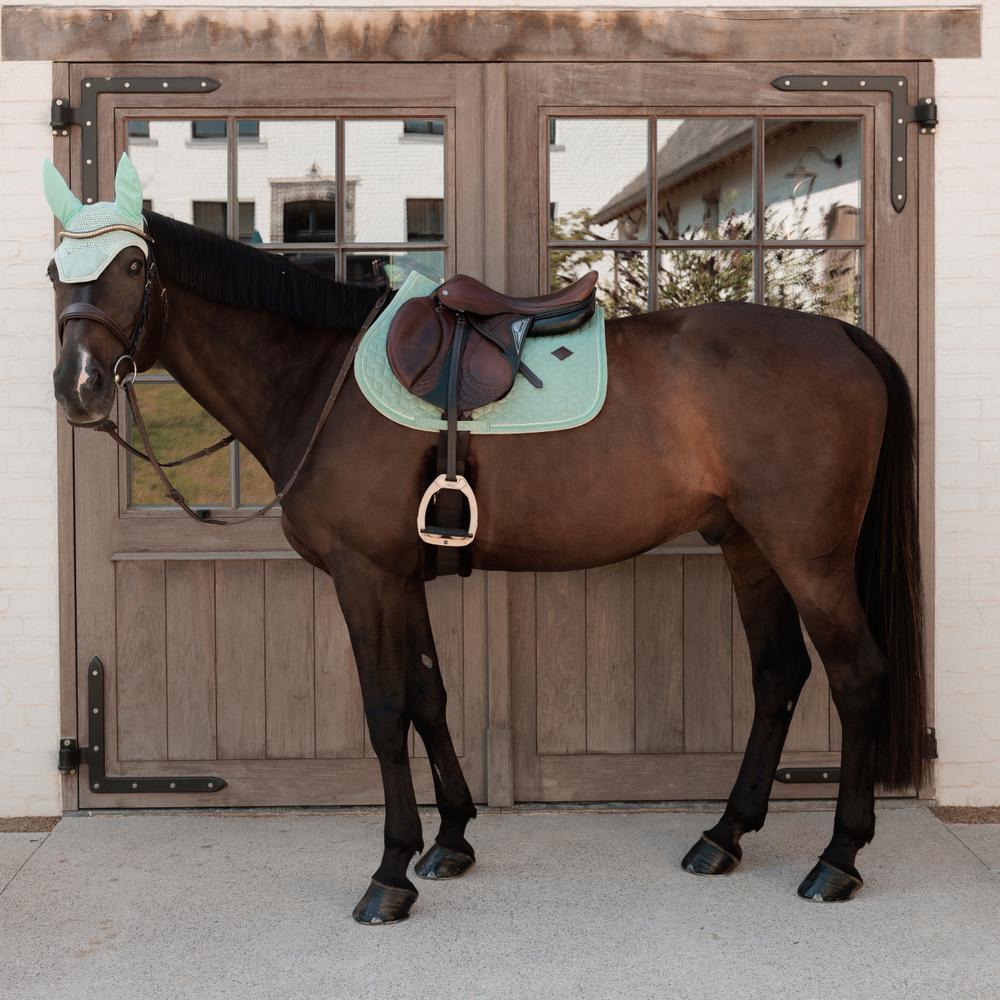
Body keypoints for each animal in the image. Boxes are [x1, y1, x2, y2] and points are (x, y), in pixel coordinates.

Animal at [47, 155, 925, 923]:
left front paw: (390, 875)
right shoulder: (400, 575)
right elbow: (429, 695)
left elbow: (385, 709)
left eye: (133, 266)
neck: (319, 378)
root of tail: (843, 338)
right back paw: (723, 836)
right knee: (778, 675)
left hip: (809, 557)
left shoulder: (362, 573)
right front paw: (451, 841)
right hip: (748, 547)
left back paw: (837, 861)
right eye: (57, 271)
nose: (76, 389)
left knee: (858, 677)